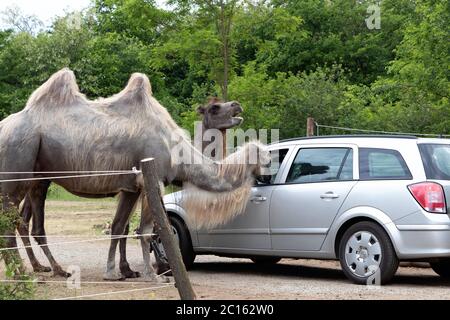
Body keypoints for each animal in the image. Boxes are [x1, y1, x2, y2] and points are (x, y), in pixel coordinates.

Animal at [0, 69, 268, 282]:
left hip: (36, 178)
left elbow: (119, 226)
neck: (176, 149)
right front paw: (154, 274)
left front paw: (114, 272)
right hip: (17, 167)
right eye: (214, 107)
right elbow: (148, 230)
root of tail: (4, 127)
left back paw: (45, 269)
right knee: (16, 222)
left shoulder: (130, 187)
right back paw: (26, 273)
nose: (237, 105)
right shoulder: (153, 180)